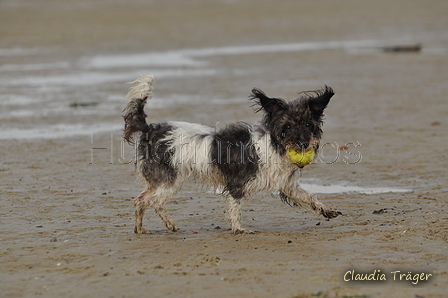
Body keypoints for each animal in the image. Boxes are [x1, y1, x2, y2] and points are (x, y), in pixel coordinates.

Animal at [122, 73, 340, 234]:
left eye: (308, 125)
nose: (303, 143)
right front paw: (239, 229)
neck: (273, 145)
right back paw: (168, 223)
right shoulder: (237, 183)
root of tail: (150, 128)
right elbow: (236, 208)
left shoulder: (288, 186)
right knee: (154, 201)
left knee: (140, 200)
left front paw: (326, 210)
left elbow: (310, 198)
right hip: (170, 181)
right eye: (287, 126)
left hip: (159, 181)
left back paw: (140, 229)